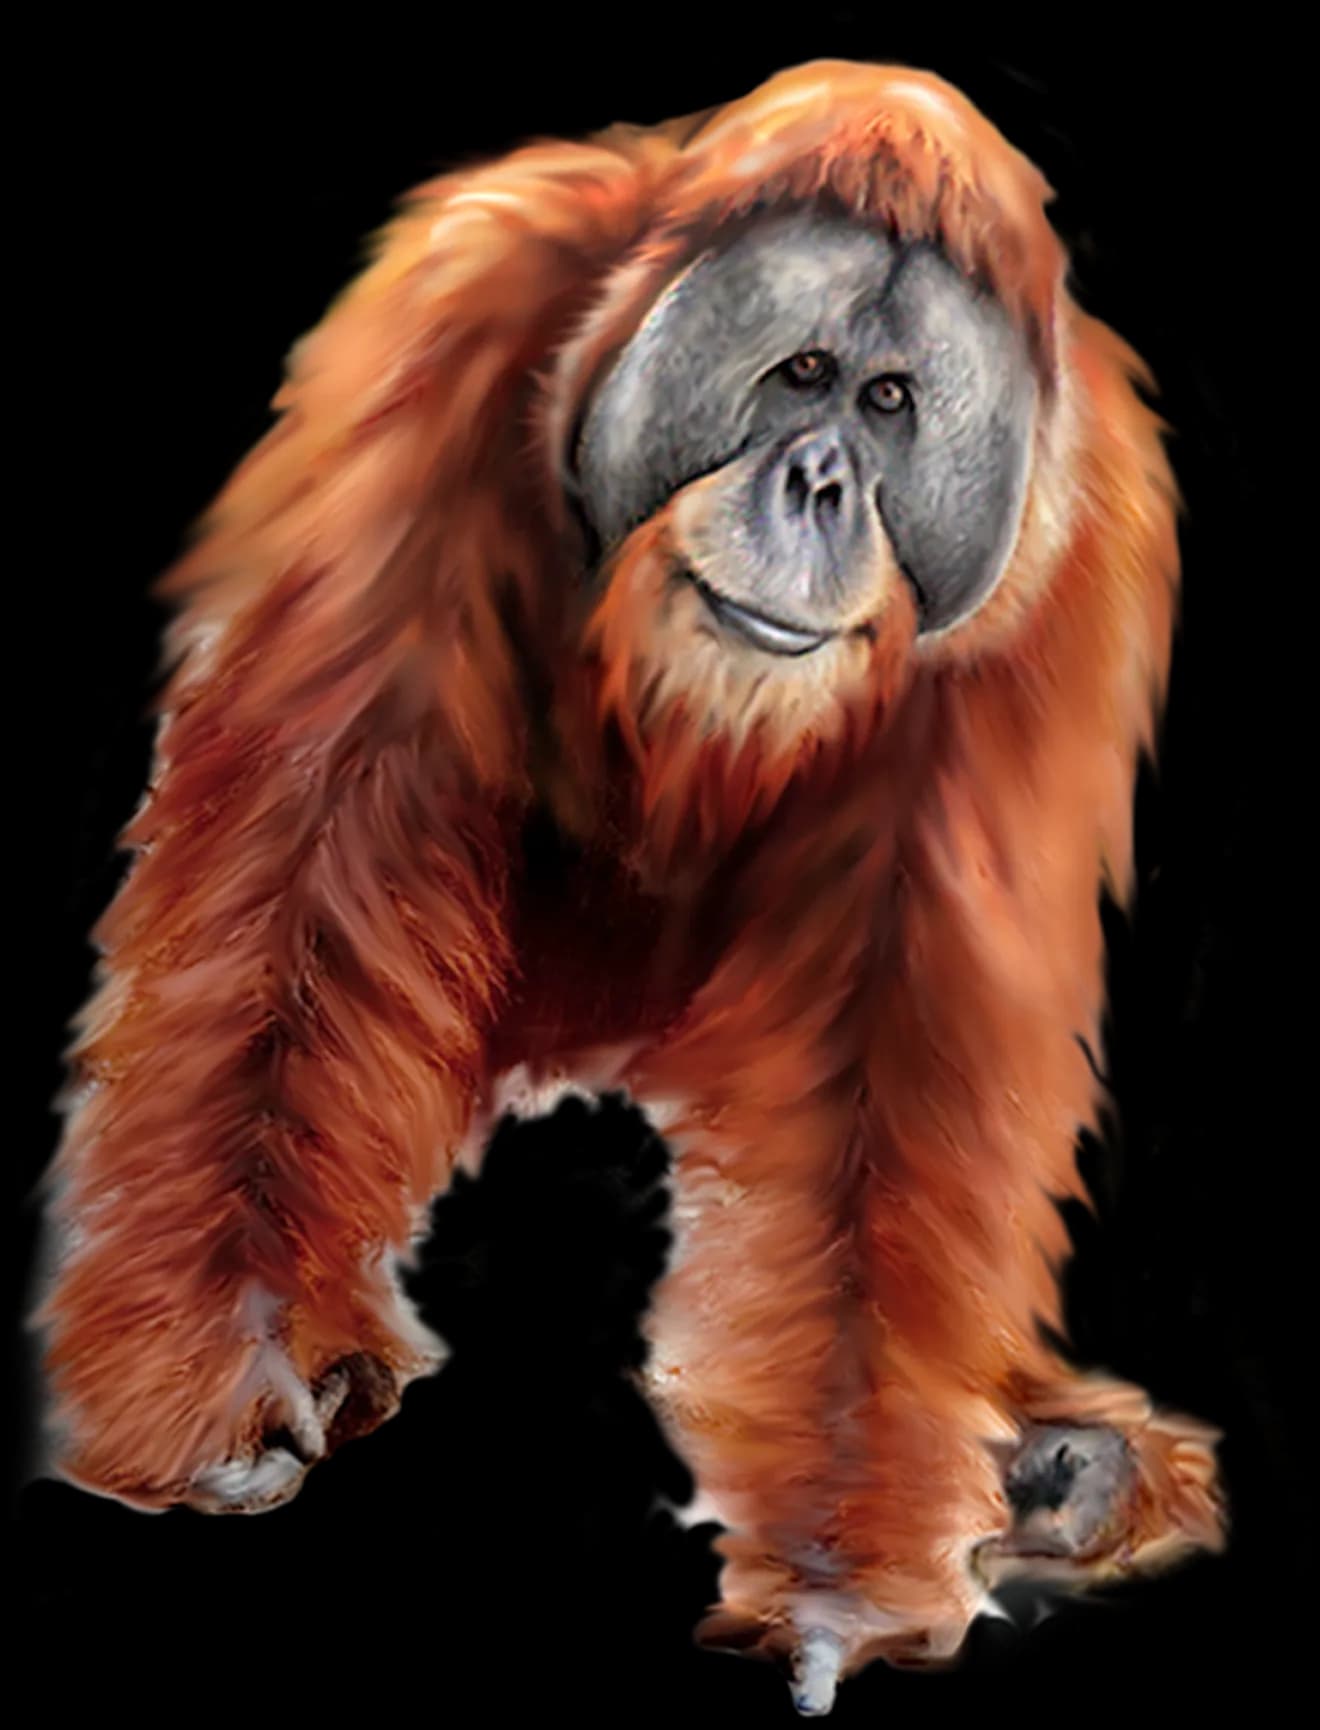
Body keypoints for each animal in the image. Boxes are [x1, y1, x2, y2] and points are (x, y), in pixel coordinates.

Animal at [27, 60, 1224, 1716]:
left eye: (891, 405)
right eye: (798, 375)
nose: (821, 478)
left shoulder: (1078, 558)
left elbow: (893, 1062)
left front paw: (844, 1572)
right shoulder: (449, 328)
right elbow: (313, 858)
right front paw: (235, 1380)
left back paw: (1060, 1468)